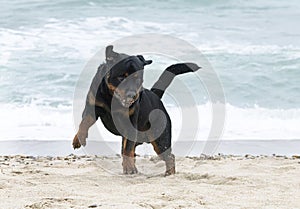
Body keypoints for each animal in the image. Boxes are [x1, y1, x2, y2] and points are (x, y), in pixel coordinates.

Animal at [72, 46, 199, 176]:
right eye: (122, 77)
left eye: (138, 78)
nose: (132, 95)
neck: (113, 99)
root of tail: (155, 96)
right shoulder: (92, 108)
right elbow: (84, 123)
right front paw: (79, 138)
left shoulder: (131, 123)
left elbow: (128, 148)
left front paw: (129, 167)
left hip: (160, 137)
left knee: (169, 155)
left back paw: (169, 173)